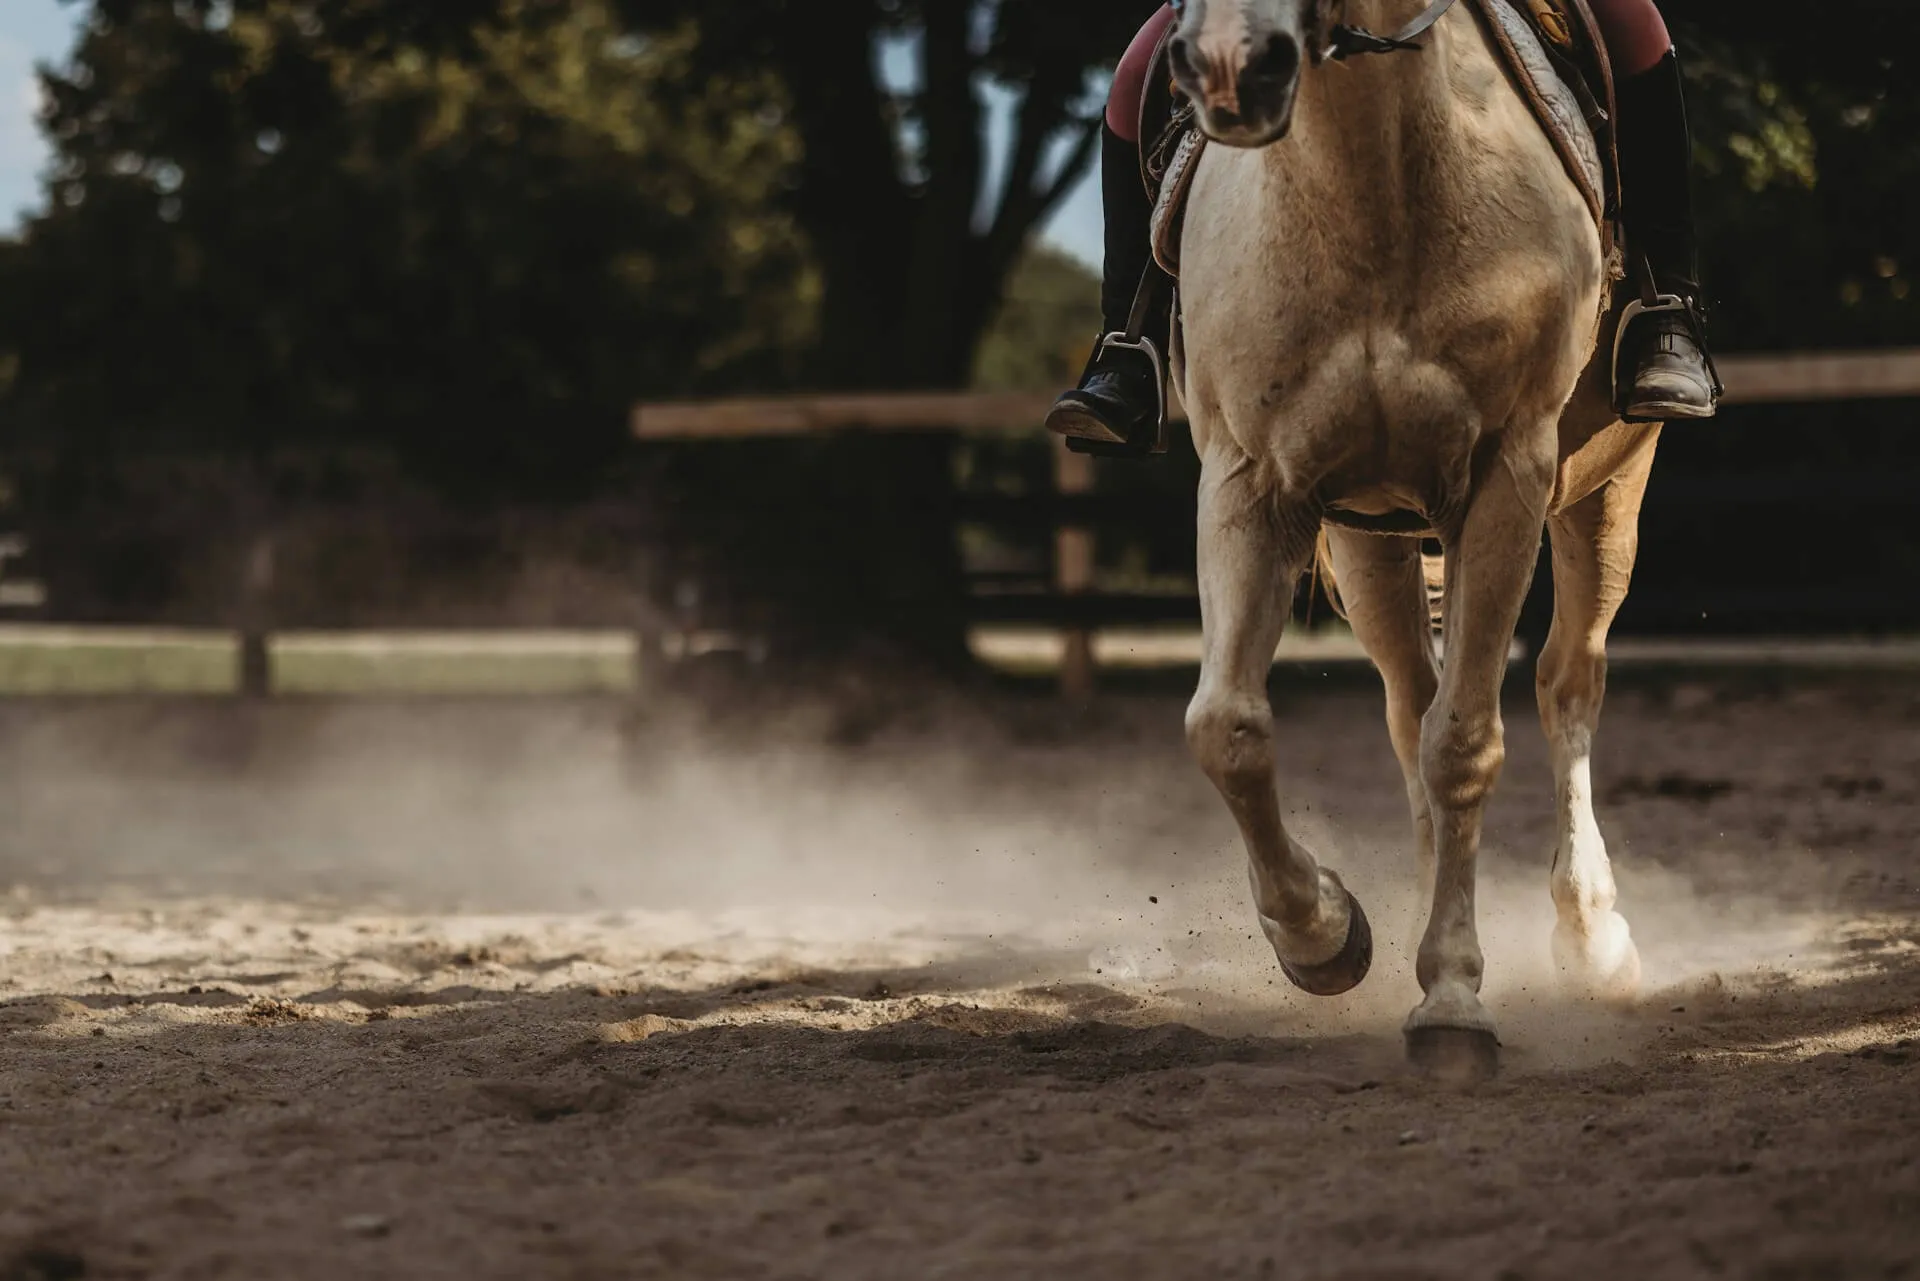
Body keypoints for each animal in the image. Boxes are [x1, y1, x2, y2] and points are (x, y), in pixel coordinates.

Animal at [1165, 0, 1659, 1073]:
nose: (1229, 66)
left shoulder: (1509, 480)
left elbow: (1466, 742)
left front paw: (1454, 1000)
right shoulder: (1248, 479)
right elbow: (1228, 728)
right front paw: (1322, 933)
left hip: (1608, 491)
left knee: (1567, 683)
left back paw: (1594, 936)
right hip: (1370, 541)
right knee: (1408, 706)